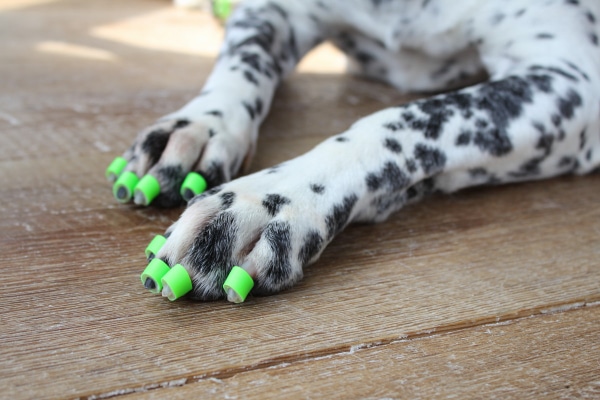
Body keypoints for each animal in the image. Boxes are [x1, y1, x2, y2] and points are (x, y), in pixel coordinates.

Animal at [116, 0, 600, 300]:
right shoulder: (277, 12)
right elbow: (241, 64)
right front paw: (200, 125)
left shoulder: (571, 80)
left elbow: (405, 120)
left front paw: (270, 201)